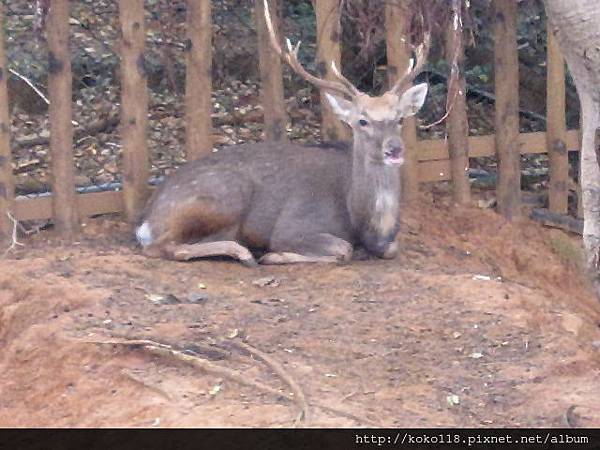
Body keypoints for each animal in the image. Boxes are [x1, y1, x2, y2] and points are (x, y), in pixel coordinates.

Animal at [135, 0, 428, 268]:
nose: (394, 148)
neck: (361, 219)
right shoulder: (294, 223)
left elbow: (391, 248)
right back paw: (245, 253)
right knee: (164, 247)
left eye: (400, 119)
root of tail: (146, 220)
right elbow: (342, 249)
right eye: (362, 121)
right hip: (223, 196)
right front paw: (274, 255)